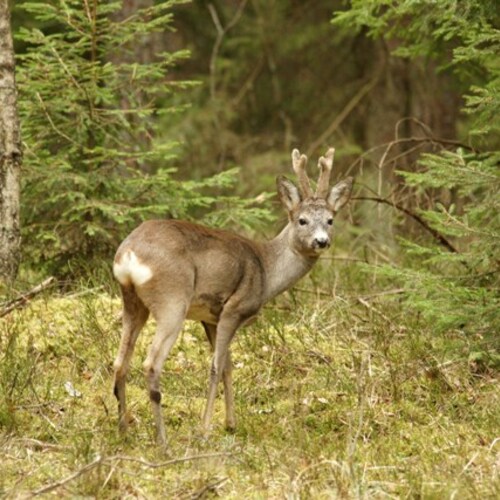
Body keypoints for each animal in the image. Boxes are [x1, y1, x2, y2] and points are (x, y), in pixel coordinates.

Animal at [114, 146, 354, 444]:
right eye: (302, 220)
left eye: (330, 220)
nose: (321, 241)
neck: (267, 269)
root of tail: (129, 253)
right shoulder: (234, 309)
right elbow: (216, 367)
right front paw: (205, 430)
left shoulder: (211, 317)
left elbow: (228, 365)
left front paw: (230, 424)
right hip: (172, 300)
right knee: (150, 364)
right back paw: (163, 441)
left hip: (132, 301)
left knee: (119, 362)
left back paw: (123, 430)